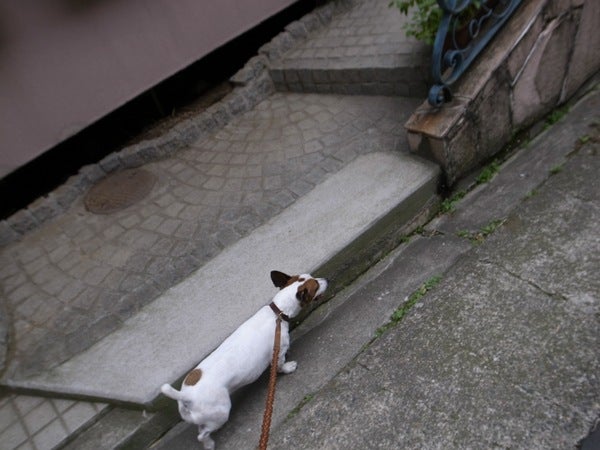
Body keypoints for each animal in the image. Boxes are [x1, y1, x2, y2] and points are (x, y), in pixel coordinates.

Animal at [160, 270, 328, 449]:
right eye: (316, 286)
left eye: (312, 277)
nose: (326, 279)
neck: (278, 313)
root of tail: (185, 395)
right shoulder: (279, 350)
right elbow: (280, 365)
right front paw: (288, 367)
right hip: (221, 412)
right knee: (202, 435)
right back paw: (210, 443)